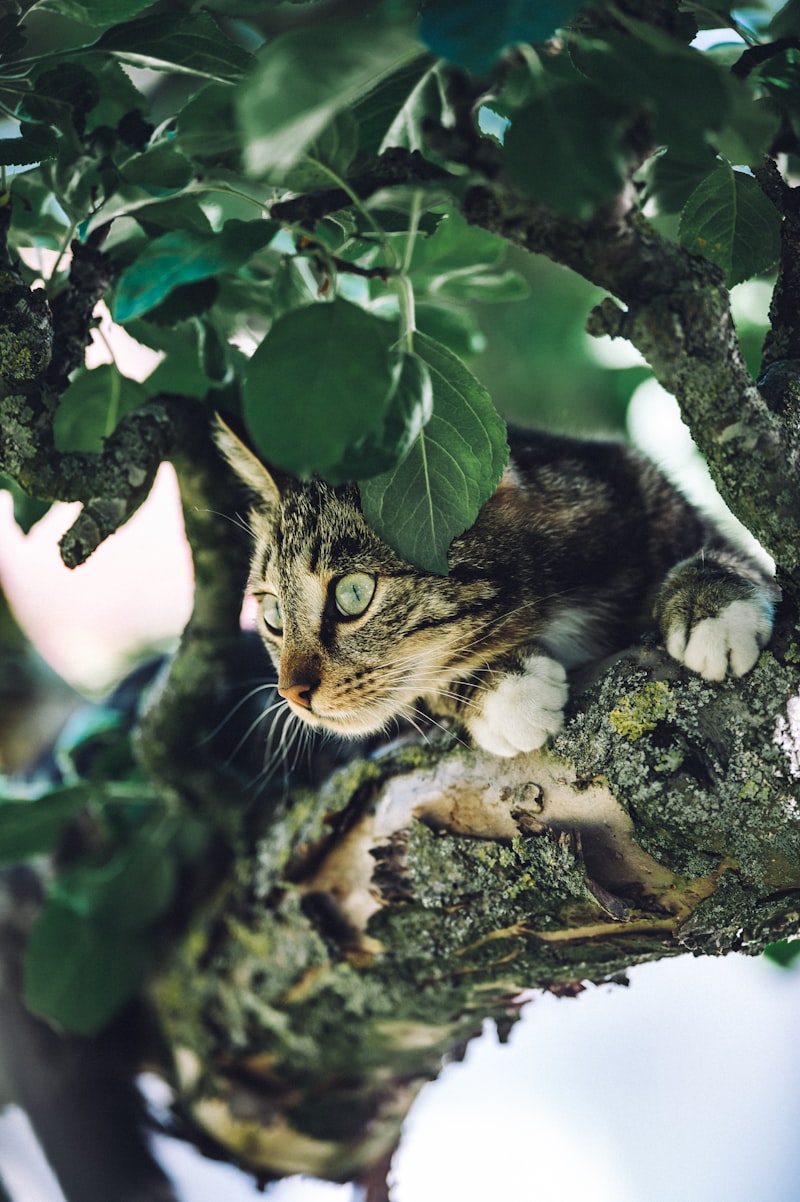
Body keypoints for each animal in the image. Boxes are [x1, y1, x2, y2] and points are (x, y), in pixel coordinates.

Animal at [215, 423, 773, 754]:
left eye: (353, 594)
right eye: (273, 614)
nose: (291, 692)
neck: (553, 606)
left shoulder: (637, 485)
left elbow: (731, 553)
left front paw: (713, 607)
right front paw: (502, 689)